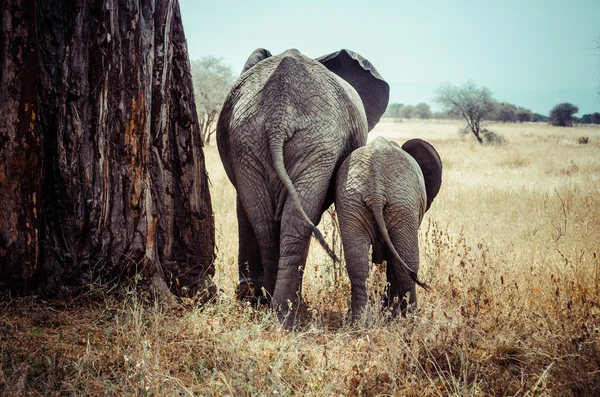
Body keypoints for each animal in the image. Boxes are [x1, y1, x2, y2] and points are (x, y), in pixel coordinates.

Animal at [216, 48, 390, 326]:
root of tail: (278, 116)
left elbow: (245, 211)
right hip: (309, 145)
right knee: (293, 222)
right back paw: (289, 313)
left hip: (252, 140)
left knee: (267, 222)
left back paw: (277, 310)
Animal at [338, 138, 440, 320]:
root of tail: (376, 193)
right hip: (402, 206)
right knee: (407, 268)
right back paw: (409, 321)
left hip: (351, 204)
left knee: (358, 267)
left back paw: (360, 322)